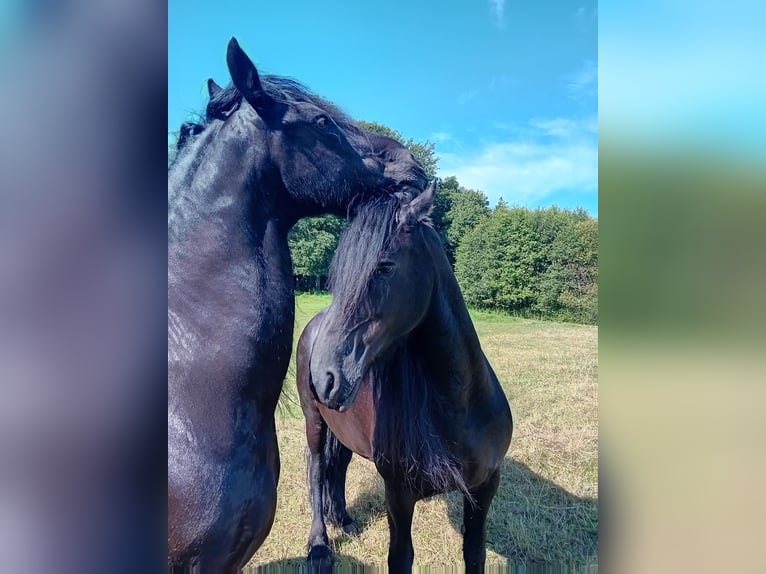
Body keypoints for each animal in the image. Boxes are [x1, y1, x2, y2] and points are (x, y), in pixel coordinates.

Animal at [296, 181, 512, 572]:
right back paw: (319, 547)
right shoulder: (398, 495)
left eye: (384, 267)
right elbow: (401, 557)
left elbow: (474, 552)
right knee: (318, 470)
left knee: (339, 466)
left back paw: (346, 522)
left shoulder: (485, 486)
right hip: (314, 421)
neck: (460, 406)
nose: (323, 377)